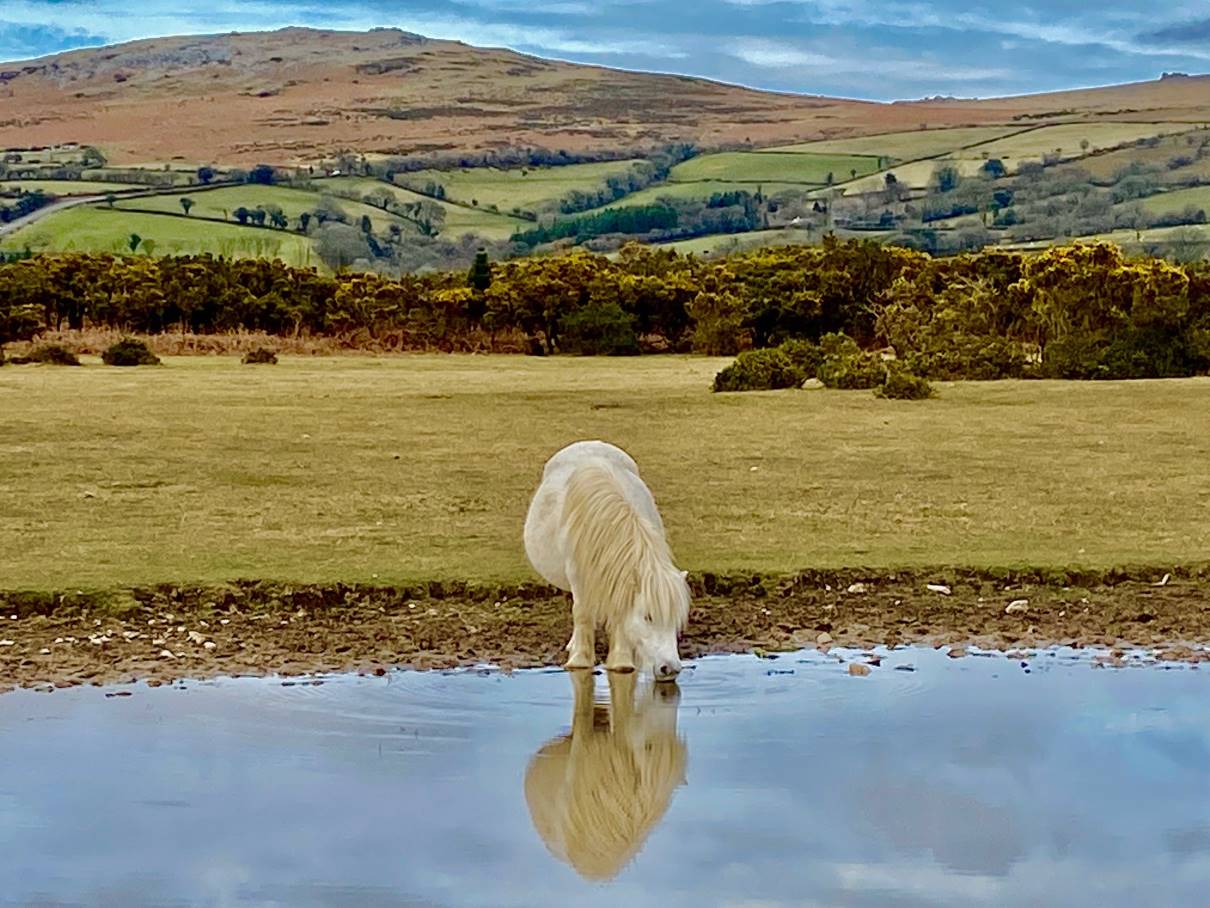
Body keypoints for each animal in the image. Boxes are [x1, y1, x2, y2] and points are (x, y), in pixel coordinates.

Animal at [522, 440, 692, 682]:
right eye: (648, 616)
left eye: (677, 618)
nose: (670, 668)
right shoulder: (579, 576)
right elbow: (582, 614)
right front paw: (580, 660)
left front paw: (621, 662)